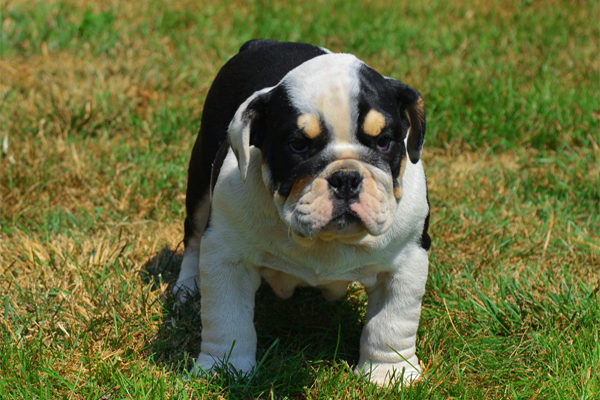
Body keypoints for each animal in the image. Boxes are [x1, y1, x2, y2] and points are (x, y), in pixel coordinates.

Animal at [173, 39, 432, 386]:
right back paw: (188, 287)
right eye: (297, 145)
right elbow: (226, 318)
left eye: (384, 141)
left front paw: (388, 373)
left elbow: (392, 322)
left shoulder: (406, 262)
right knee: (194, 233)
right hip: (201, 174)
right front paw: (222, 368)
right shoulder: (226, 258)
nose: (346, 177)